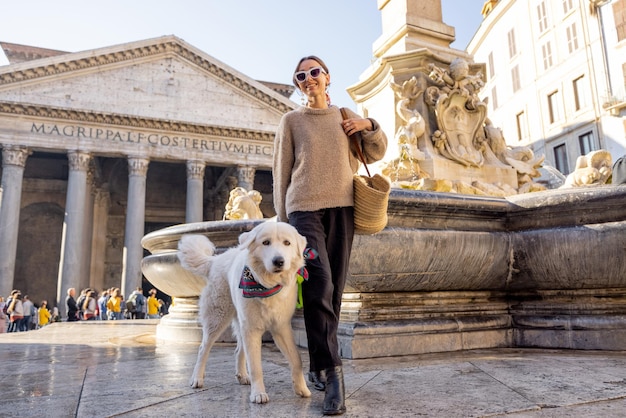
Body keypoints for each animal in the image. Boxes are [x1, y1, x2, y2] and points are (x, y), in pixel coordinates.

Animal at [177, 224, 310, 404]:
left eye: (287, 243)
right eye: (266, 242)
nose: (279, 261)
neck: (267, 285)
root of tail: (216, 260)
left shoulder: (281, 328)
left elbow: (297, 360)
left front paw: (302, 389)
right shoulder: (252, 330)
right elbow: (255, 367)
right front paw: (258, 394)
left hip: (240, 323)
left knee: (238, 349)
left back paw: (242, 375)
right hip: (217, 319)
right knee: (203, 348)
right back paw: (197, 379)